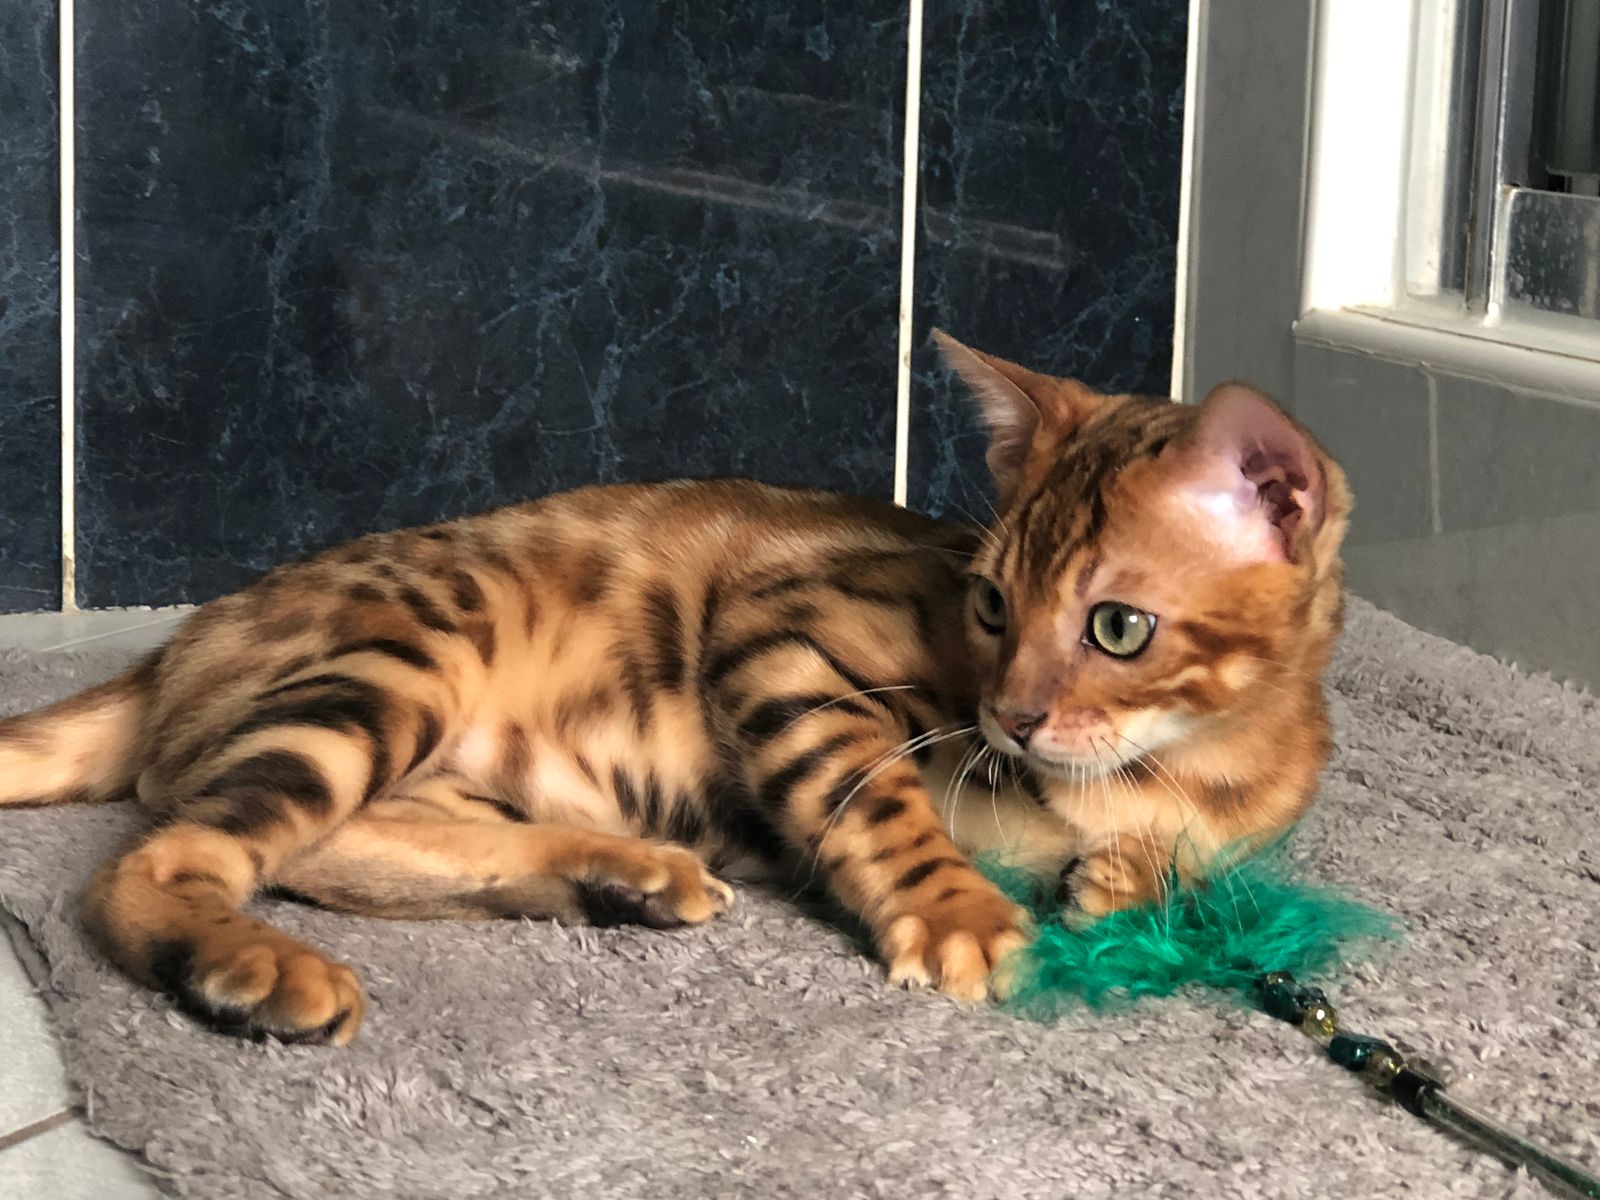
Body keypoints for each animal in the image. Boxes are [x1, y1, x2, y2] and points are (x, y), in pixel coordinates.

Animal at [0, 332, 1348, 1045]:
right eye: (987, 606)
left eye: (1115, 627)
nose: (1006, 715)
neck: (1176, 762)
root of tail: (178, 641)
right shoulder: (783, 637)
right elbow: (876, 802)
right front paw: (959, 911)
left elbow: (1180, 865)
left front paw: (1125, 878)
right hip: (405, 657)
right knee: (167, 855)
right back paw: (249, 967)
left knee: (338, 845)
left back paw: (620, 875)